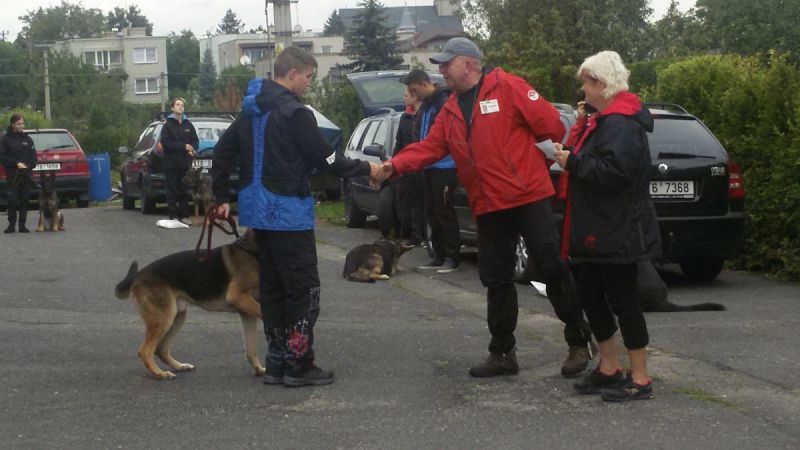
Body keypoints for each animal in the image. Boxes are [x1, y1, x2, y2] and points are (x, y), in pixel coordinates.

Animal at [115, 229, 266, 380]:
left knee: (160, 349)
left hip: (177, 317)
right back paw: (161, 374)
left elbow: (251, 348)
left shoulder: (247, 312)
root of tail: (137, 276)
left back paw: (180, 366)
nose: (243, 240)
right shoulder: (237, 297)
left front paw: (258, 370)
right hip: (164, 319)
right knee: (145, 351)